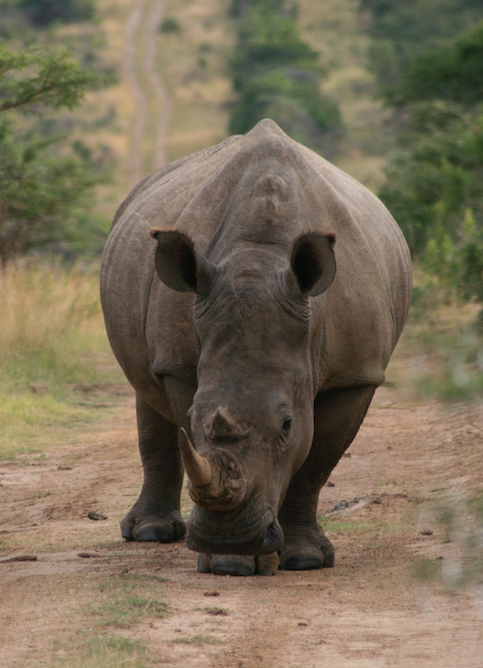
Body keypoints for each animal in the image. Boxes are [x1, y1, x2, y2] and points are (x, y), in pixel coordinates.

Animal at [100, 119, 411, 576]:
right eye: (193, 416)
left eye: (286, 424)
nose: (227, 537)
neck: (260, 257)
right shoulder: (179, 363)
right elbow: (193, 432)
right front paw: (230, 560)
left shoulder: (355, 374)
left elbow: (315, 463)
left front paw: (302, 558)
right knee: (147, 386)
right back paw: (151, 534)